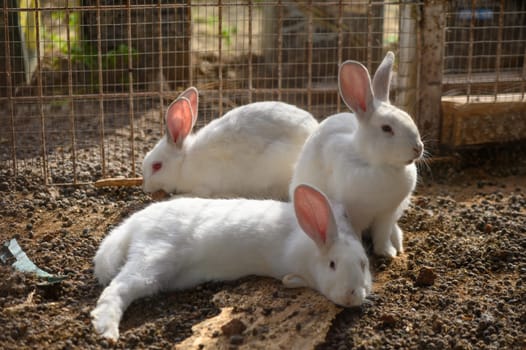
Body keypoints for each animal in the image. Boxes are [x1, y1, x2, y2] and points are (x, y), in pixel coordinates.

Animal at [91, 185, 372, 340]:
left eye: (364, 264)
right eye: (332, 264)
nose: (351, 296)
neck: (312, 247)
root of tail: (134, 224)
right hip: (153, 257)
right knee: (117, 288)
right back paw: (106, 330)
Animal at [290, 52, 426, 260]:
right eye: (387, 129)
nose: (418, 148)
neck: (376, 164)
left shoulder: (387, 214)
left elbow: (382, 234)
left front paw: (388, 253)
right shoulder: (355, 216)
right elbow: (358, 236)